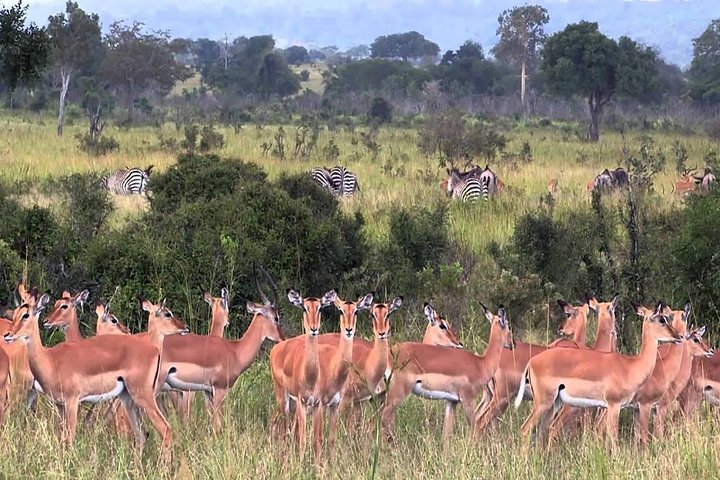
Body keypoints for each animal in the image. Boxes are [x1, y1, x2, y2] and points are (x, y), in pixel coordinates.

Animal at [3, 290, 188, 456]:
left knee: (165, 429)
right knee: (142, 435)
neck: (51, 359)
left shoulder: (72, 402)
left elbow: (70, 439)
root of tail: (154, 349)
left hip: (143, 396)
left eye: (26, 315)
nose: (8, 334)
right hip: (127, 398)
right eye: (16, 313)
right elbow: (62, 439)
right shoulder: (59, 404)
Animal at [270, 289, 337, 461]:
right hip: (283, 399)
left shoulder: (317, 404)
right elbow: (303, 439)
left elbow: (317, 439)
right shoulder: (301, 402)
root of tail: (277, 347)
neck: (310, 376)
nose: (313, 328)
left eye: (320, 308)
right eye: (304, 308)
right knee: (283, 428)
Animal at [381, 304, 512, 444]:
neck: (481, 363)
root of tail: (389, 353)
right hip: (398, 394)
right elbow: (475, 429)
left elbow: (446, 434)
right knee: (384, 418)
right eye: (508, 326)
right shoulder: (467, 400)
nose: (512, 344)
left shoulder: (451, 401)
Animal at [517, 302, 683, 447]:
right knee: (525, 429)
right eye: (662, 319)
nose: (679, 336)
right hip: (543, 403)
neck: (630, 366)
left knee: (541, 431)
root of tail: (531, 362)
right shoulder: (615, 405)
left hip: (554, 403)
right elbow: (614, 438)